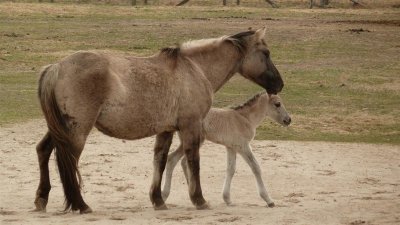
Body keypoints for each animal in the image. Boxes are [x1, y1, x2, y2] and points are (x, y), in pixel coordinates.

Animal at [35, 27, 284, 213]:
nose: (279, 85)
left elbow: (160, 161)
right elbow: (193, 161)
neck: (194, 70)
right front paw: (199, 200)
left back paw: (41, 199)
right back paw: (80, 204)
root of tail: (57, 67)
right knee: (69, 160)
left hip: (60, 128)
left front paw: (158, 200)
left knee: (43, 151)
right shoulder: (190, 127)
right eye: (266, 53)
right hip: (77, 130)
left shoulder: (166, 130)